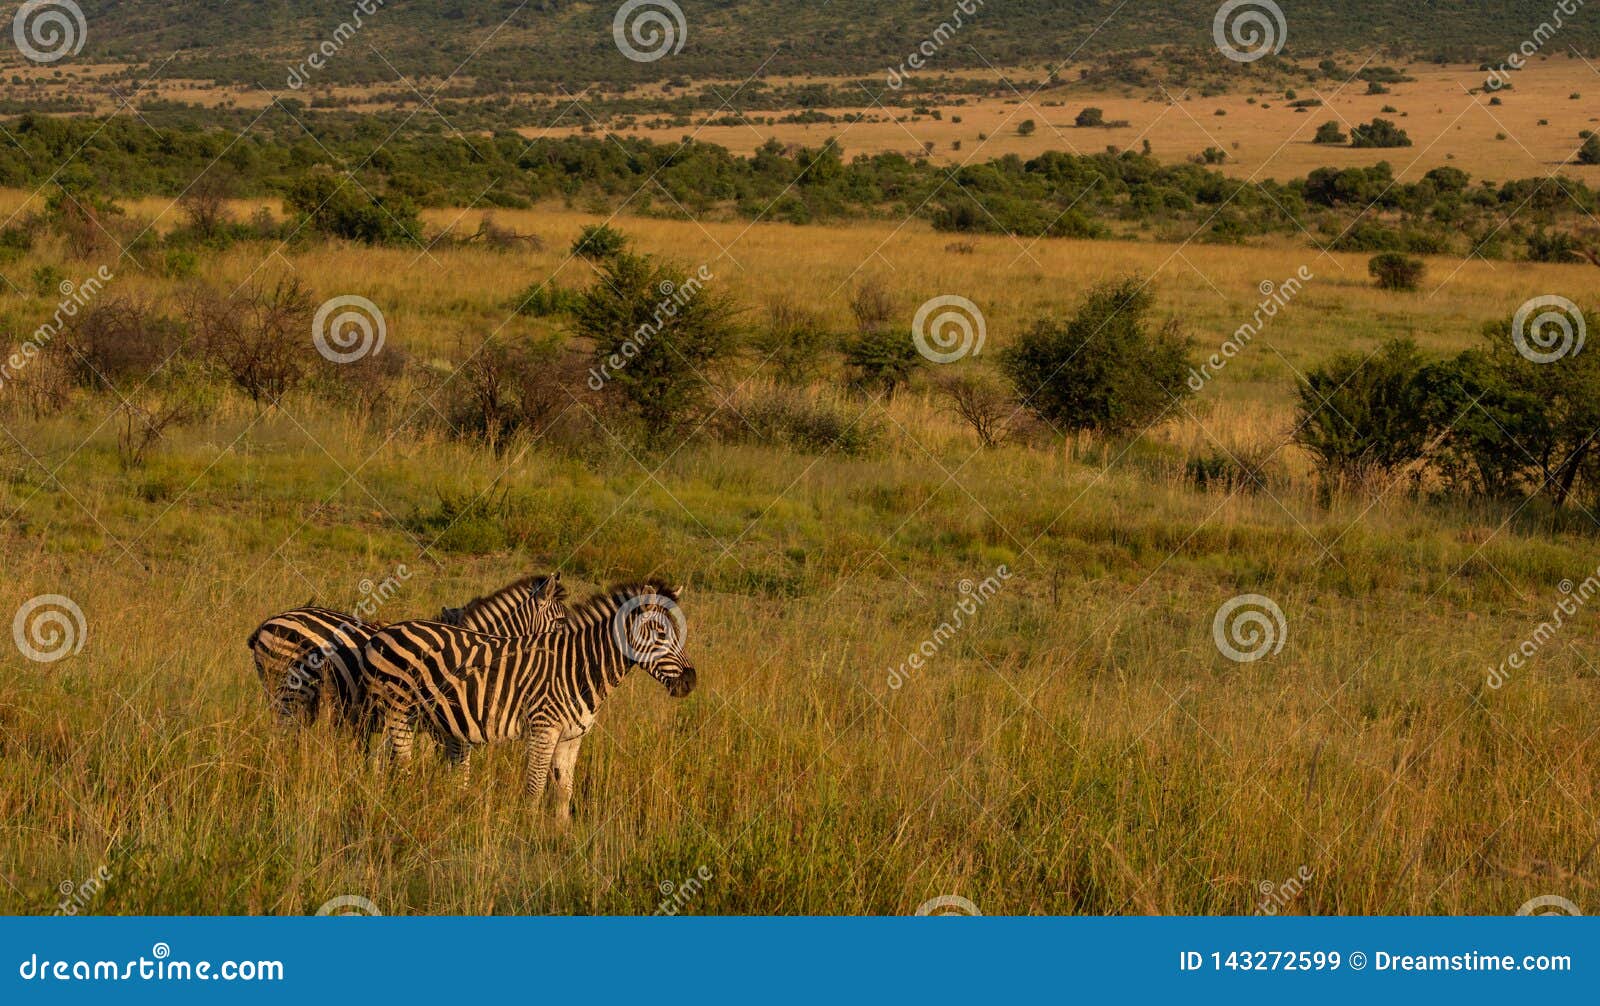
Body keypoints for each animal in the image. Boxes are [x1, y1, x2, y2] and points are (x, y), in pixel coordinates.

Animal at [361, 582, 696, 819]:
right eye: (661, 634)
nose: (691, 681)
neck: (577, 666)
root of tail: (384, 632)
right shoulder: (543, 730)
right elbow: (535, 787)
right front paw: (528, 831)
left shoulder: (572, 737)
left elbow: (564, 791)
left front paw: (560, 836)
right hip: (399, 710)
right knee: (401, 763)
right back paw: (400, 805)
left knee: (382, 758)